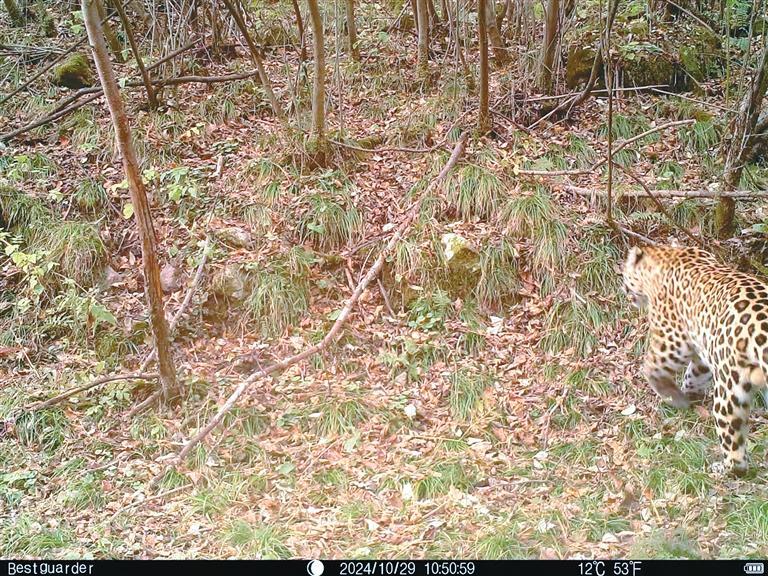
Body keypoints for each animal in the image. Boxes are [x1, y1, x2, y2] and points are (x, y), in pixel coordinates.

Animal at [624, 244, 768, 476]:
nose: (624, 290)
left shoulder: (672, 340)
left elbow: (652, 366)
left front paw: (672, 396)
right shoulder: (703, 347)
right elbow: (694, 374)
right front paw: (690, 396)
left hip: (729, 391)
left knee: (733, 444)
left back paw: (724, 469)